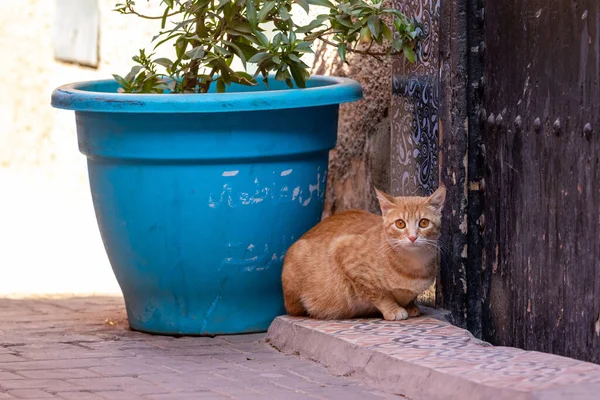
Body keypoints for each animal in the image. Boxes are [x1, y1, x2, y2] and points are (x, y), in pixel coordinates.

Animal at [282, 186, 446, 320]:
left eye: (424, 223)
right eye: (400, 224)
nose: (412, 237)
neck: (414, 265)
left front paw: (410, 305)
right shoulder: (343, 252)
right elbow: (378, 294)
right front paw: (393, 309)